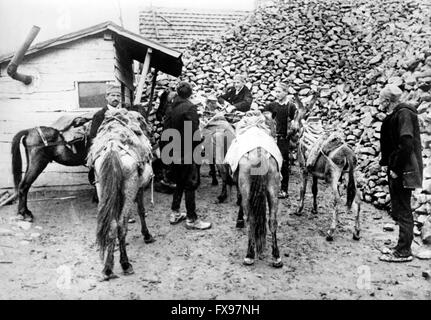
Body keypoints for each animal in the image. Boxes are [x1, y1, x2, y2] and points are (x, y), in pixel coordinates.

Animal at [88, 108, 155, 280]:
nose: (150, 129)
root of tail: (113, 149)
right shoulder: (139, 188)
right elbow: (141, 211)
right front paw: (147, 235)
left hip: (102, 187)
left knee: (112, 224)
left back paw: (107, 268)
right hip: (129, 187)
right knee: (121, 224)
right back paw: (125, 264)